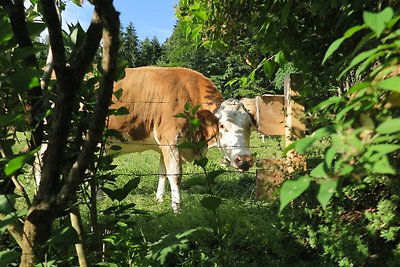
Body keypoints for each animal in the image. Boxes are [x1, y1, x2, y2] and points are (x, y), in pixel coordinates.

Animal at [107, 67, 253, 214]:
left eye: (249, 125)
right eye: (222, 125)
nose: (244, 160)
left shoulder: (164, 145)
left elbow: (163, 172)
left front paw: (159, 199)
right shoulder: (170, 141)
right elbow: (175, 175)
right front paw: (177, 208)